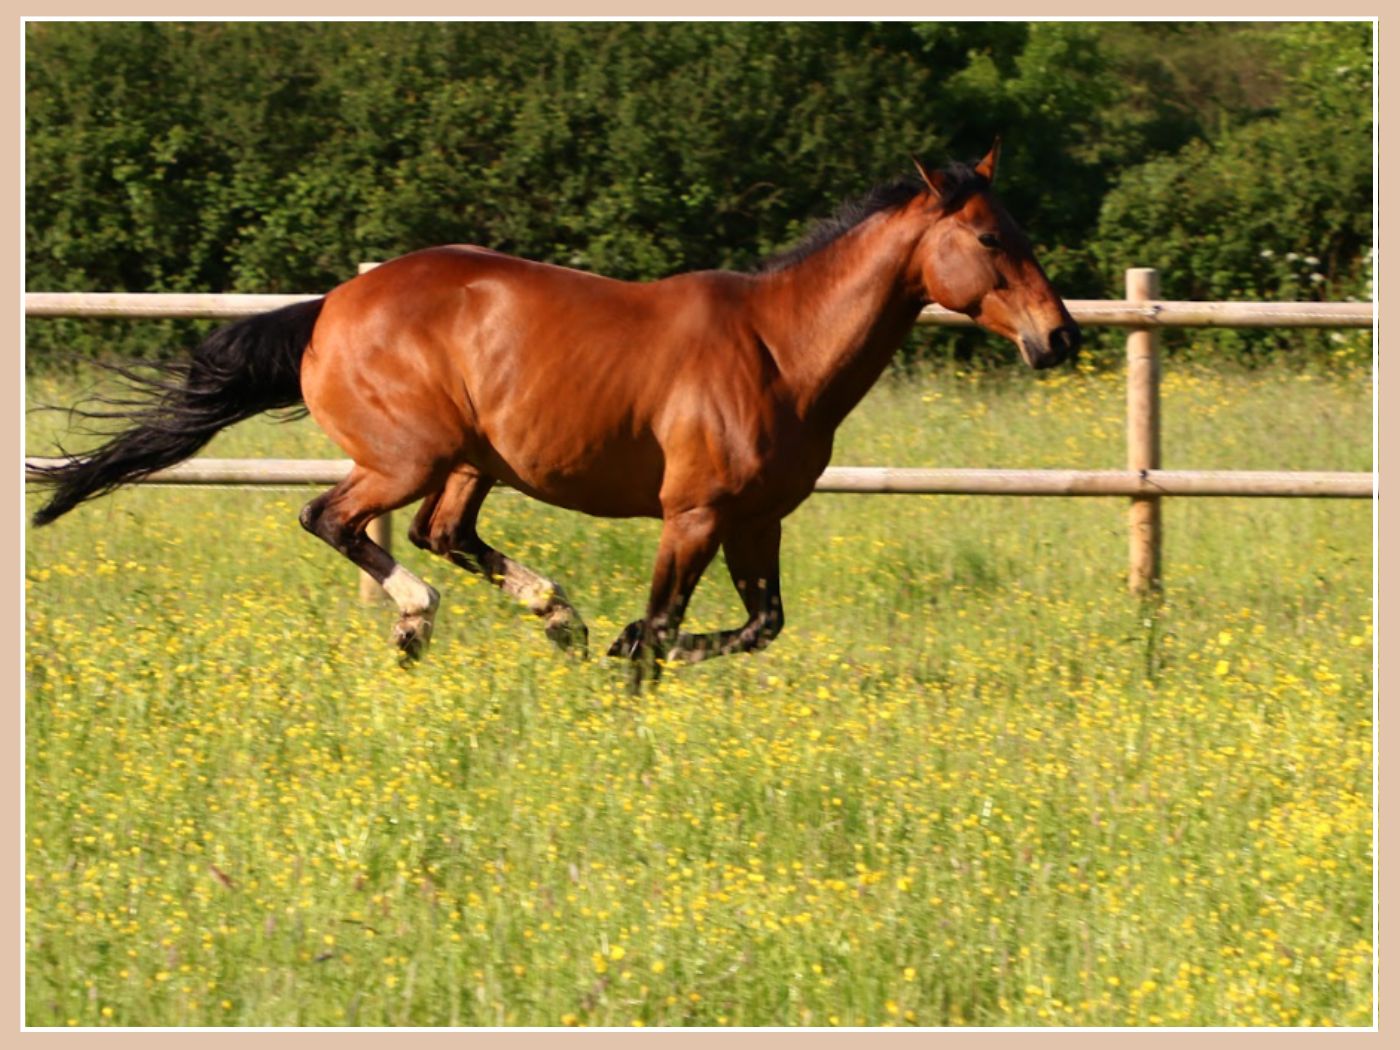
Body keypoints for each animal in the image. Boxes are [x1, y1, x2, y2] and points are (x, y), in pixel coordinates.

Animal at [31, 142, 1080, 687]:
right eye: (991, 239)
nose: (1059, 337)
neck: (780, 352)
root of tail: (331, 305)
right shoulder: (693, 514)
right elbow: (664, 621)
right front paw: (629, 665)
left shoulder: (757, 520)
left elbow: (759, 625)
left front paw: (611, 643)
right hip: (407, 457)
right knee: (336, 519)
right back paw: (421, 620)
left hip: (471, 461)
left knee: (442, 532)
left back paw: (552, 617)